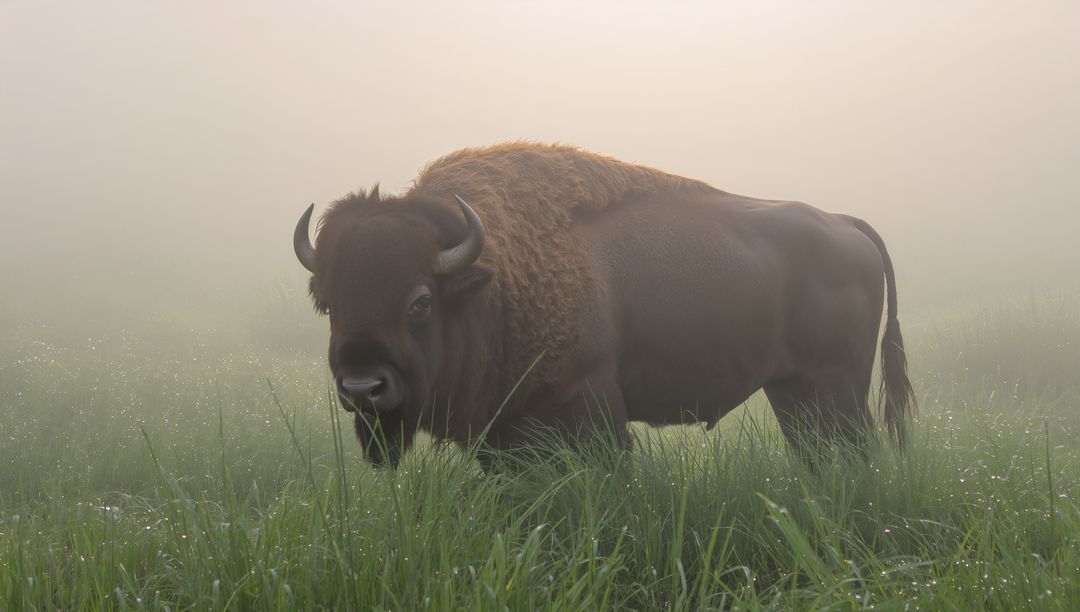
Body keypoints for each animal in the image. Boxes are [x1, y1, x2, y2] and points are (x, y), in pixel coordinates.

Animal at [293, 143, 914, 466]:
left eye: (419, 302)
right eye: (327, 302)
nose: (362, 387)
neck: (495, 280)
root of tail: (844, 224)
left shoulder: (587, 406)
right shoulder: (501, 430)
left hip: (836, 390)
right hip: (792, 392)